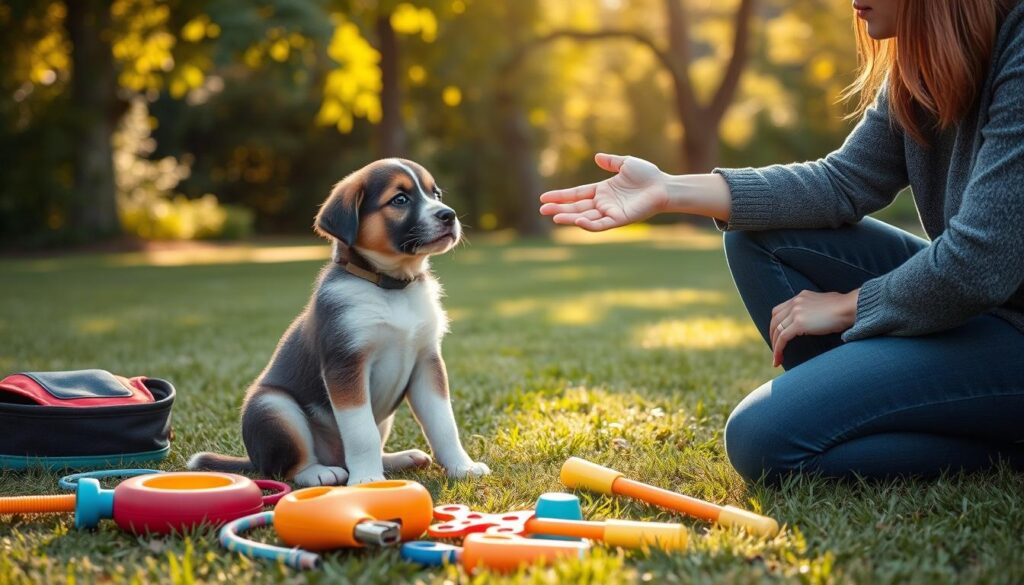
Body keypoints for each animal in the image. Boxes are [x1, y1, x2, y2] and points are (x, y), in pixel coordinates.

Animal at [192, 158, 495, 485]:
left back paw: (399, 459)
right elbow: (361, 433)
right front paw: (368, 481)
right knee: (289, 466)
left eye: (436, 194)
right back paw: (320, 473)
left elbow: (443, 425)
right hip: (273, 406)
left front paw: (462, 467)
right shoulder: (346, 364)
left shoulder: (428, 362)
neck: (391, 288)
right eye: (400, 199)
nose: (449, 215)